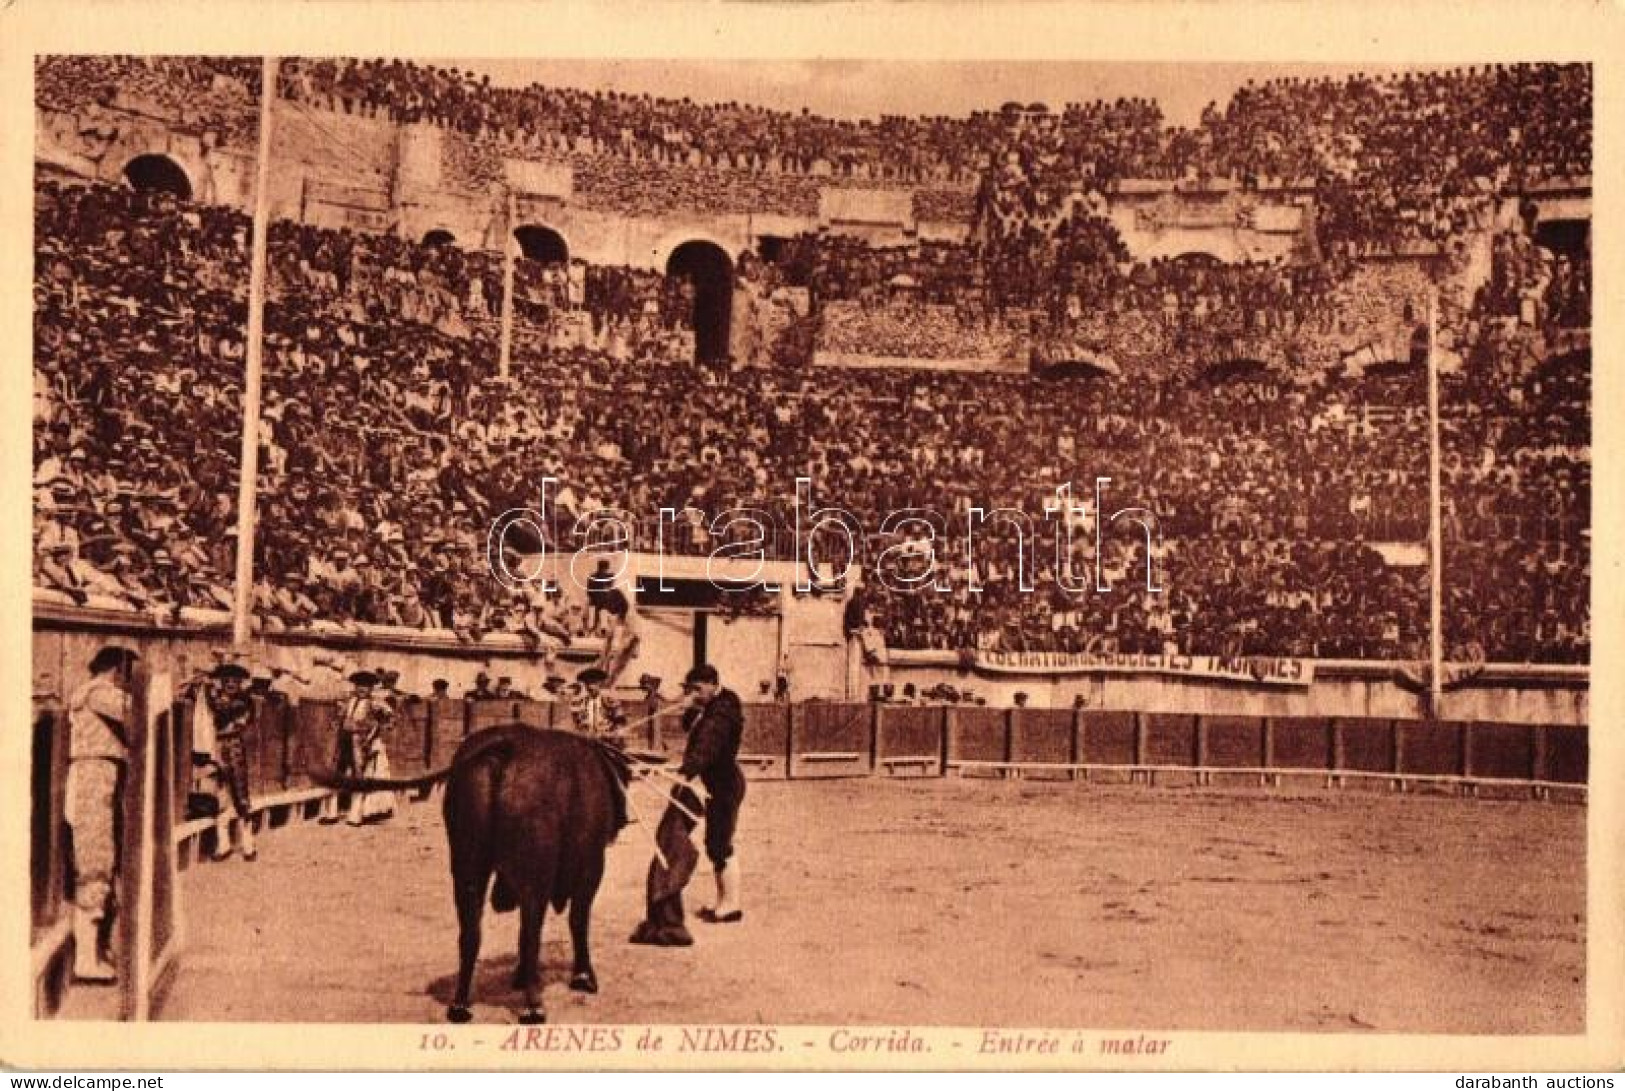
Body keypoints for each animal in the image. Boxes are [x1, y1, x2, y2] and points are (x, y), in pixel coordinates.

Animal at [312, 725, 627, 1027]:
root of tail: (505, 747)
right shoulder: (592, 866)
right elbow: (578, 920)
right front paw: (584, 977)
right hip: (531, 872)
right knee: (530, 933)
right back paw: (533, 1007)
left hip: (466, 864)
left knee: (471, 933)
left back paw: (461, 1005)